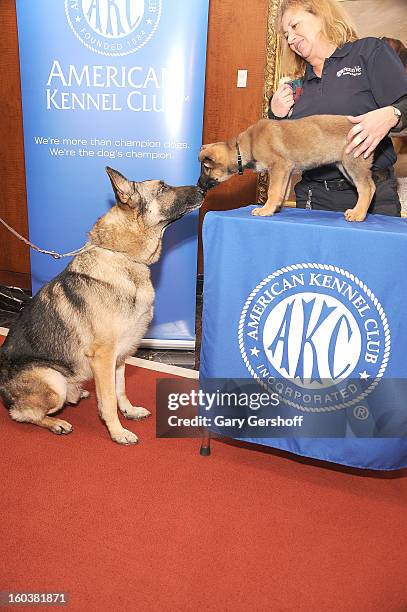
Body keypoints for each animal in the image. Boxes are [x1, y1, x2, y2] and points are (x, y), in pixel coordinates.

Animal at [0, 167, 204, 444]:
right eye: (162, 188)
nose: (203, 188)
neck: (123, 257)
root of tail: (3, 391)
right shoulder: (104, 357)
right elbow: (108, 400)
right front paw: (117, 432)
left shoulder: (120, 356)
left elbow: (120, 390)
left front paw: (128, 411)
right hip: (53, 380)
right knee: (23, 414)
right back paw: (56, 423)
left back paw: (79, 394)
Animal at [198, 115, 376, 222]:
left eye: (206, 168)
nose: (199, 186)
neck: (247, 145)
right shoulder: (287, 171)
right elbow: (281, 192)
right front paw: (274, 208)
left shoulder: (279, 166)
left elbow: (273, 191)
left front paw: (265, 209)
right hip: (345, 167)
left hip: (353, 163)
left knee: (366, 188)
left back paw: (358, 214)